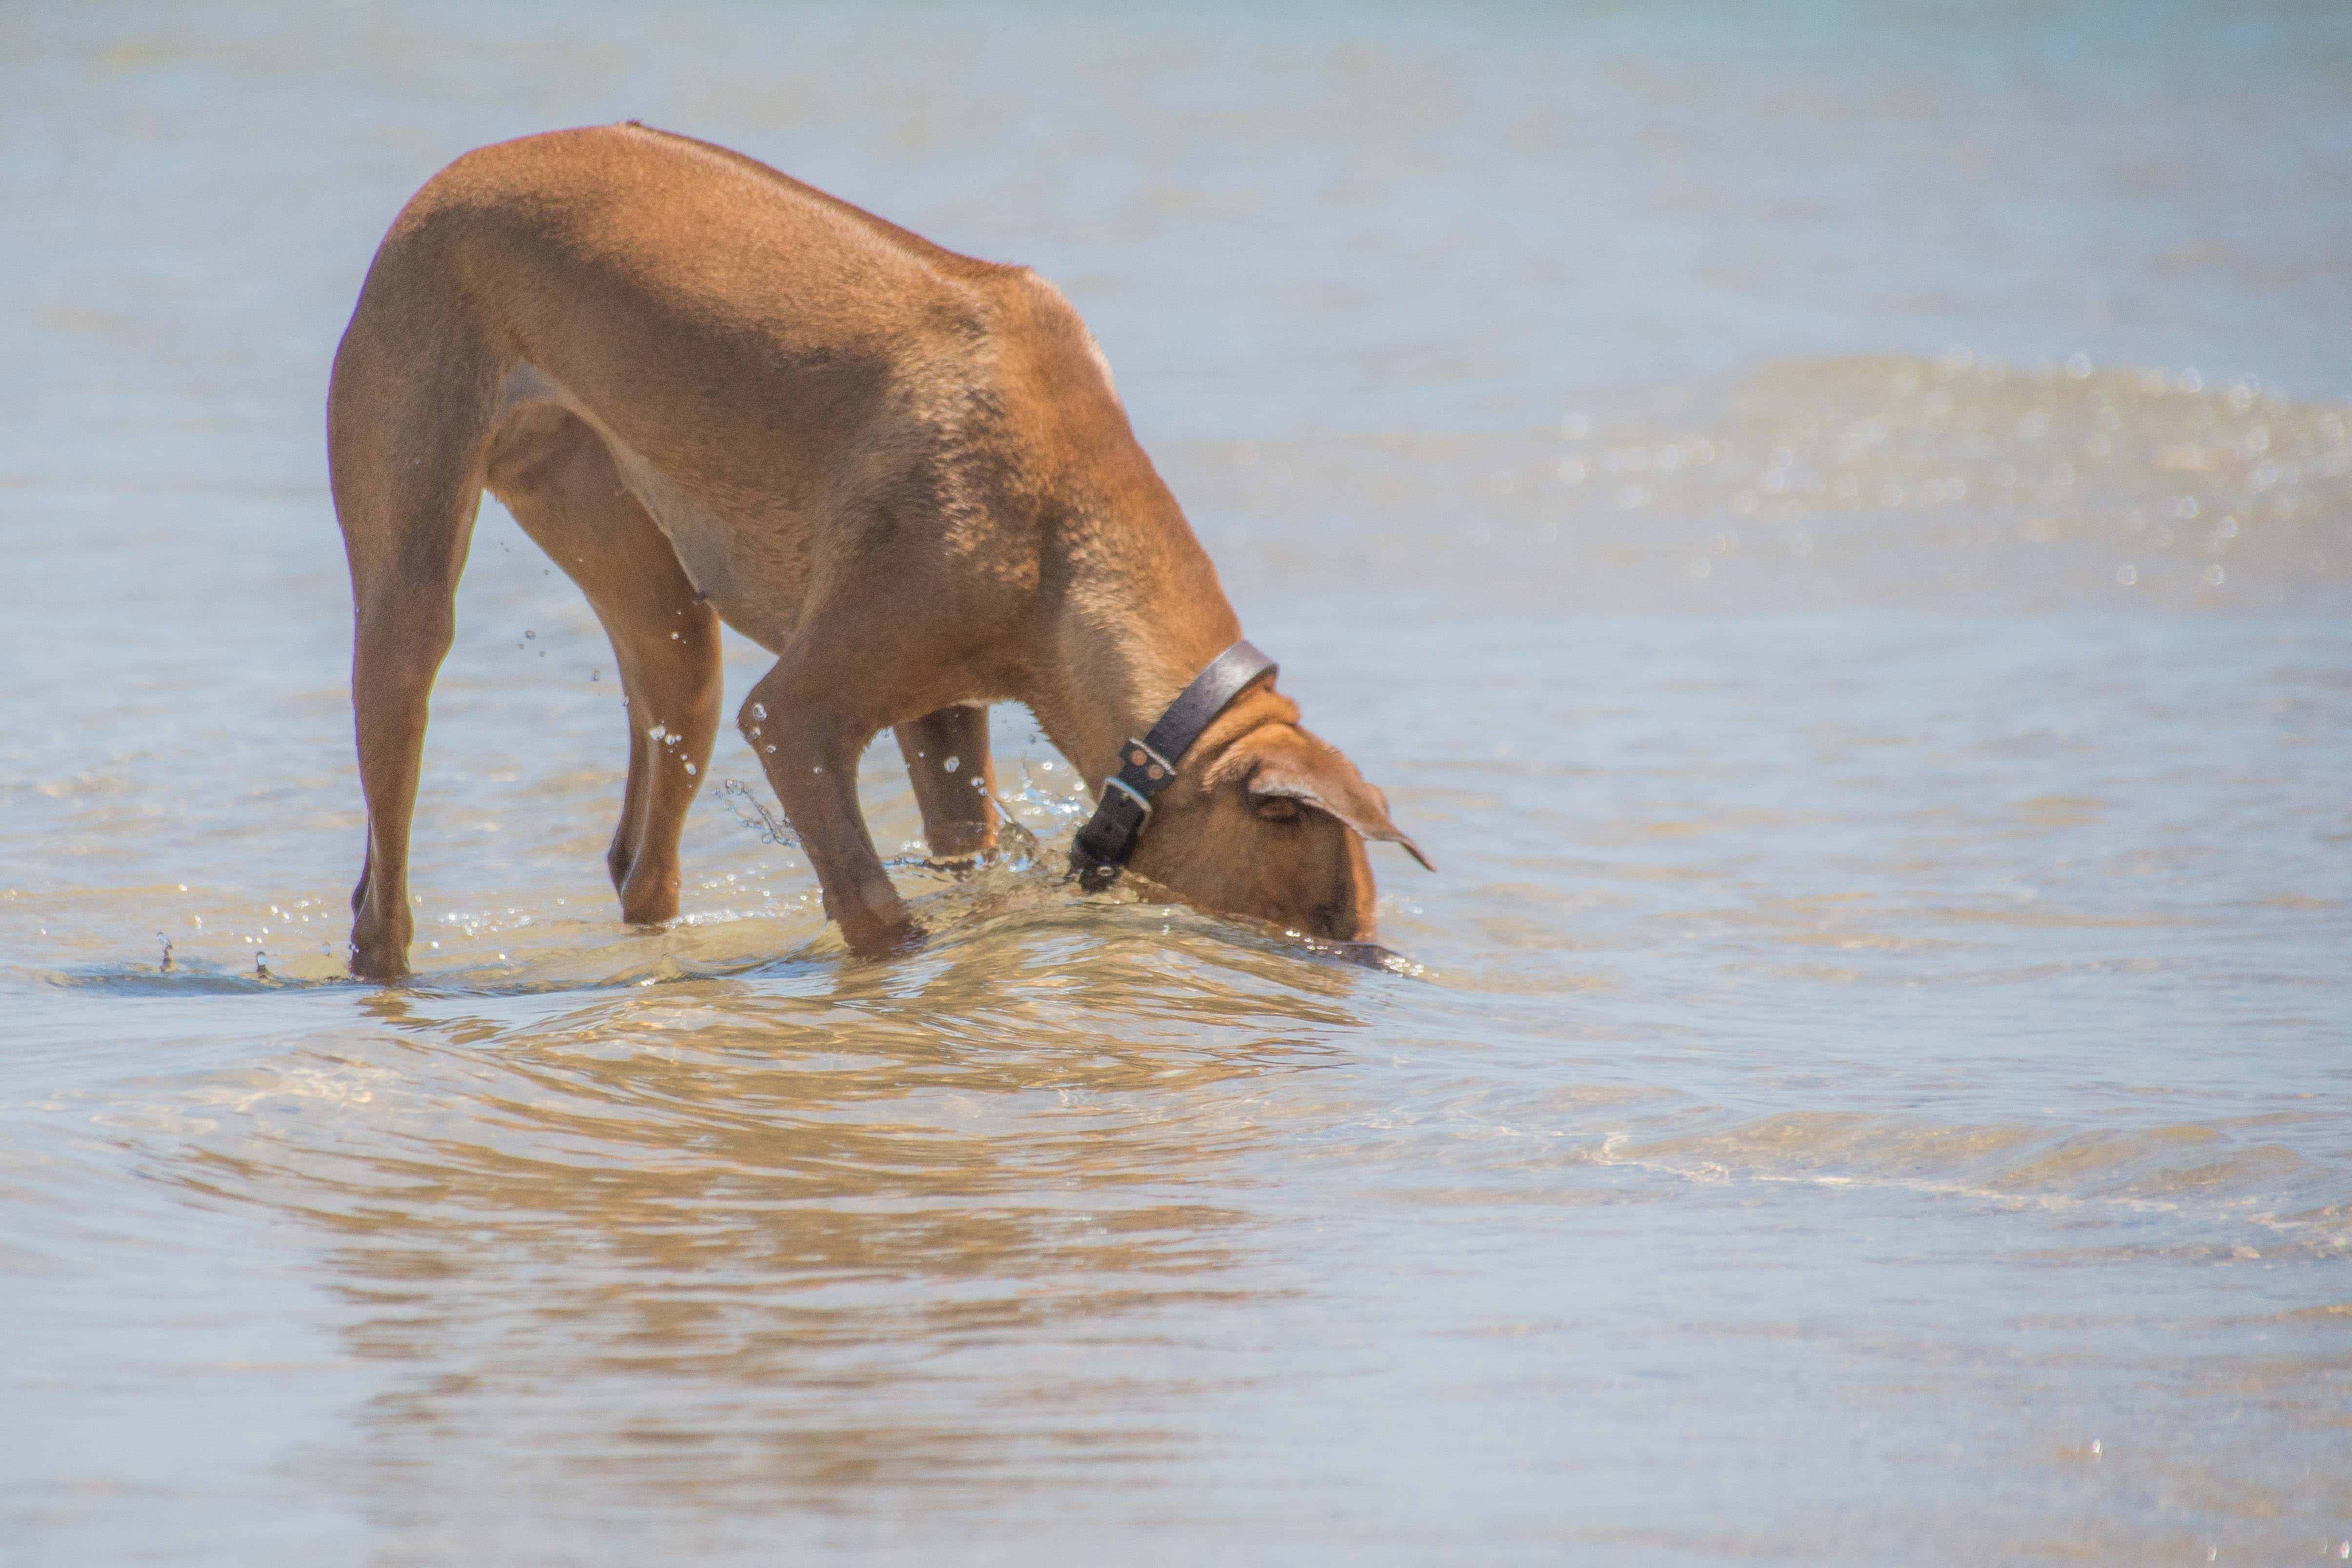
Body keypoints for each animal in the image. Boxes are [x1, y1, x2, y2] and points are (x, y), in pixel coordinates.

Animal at [331, 125, 1420, 982]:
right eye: (1327, 909)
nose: (1376, 959)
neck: (1065, 525)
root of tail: (460, 172)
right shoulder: (796, 720)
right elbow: (876, 911)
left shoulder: (943, 710)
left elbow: (959, 844)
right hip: (410, 606)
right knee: (384, 896)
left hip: (667, 625)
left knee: (641, 860)